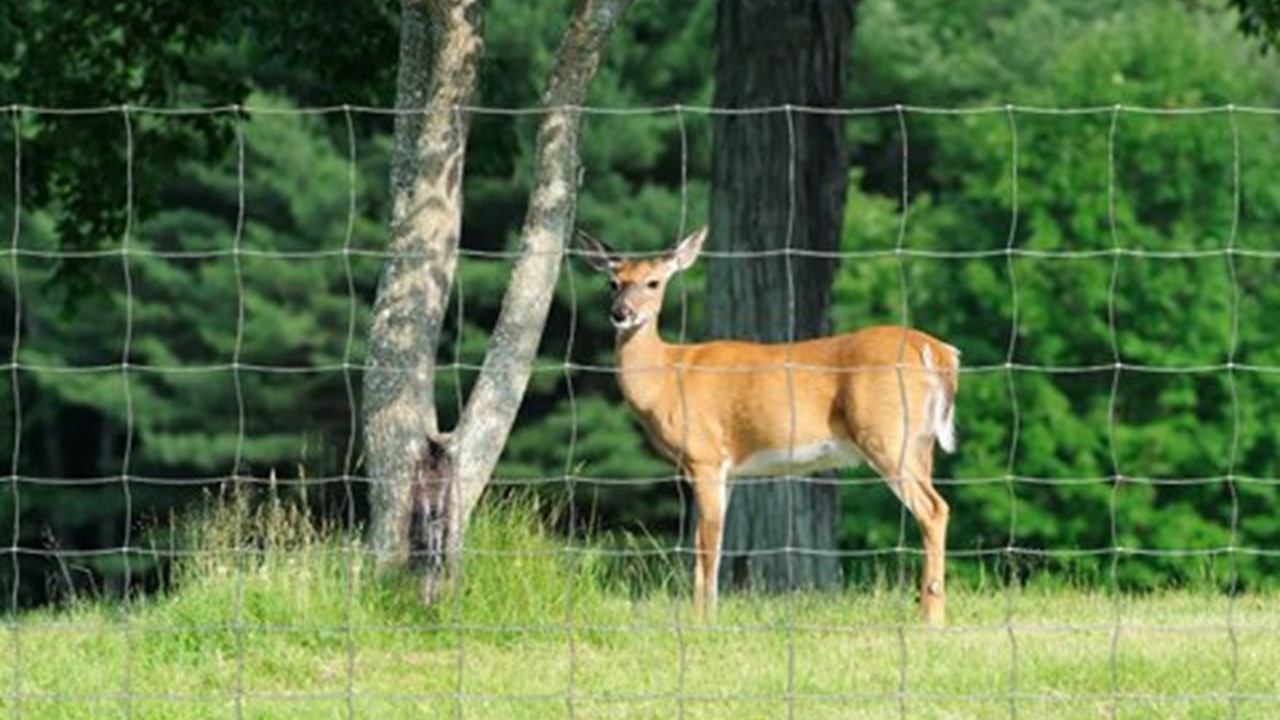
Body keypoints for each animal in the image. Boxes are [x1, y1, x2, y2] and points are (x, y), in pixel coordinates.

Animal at [581, 225, 962, 622]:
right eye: (612, 282)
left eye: (653, 282)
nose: (620, 313)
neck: (666, 377)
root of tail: (938, 352)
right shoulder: (728, 468)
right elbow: (713, 541)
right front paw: (709, 612)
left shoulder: (704, 455)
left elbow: (706, 543)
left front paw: (702, 619)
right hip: (920, 442)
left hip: (886, 434)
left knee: (934, 509)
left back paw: (931, 617)